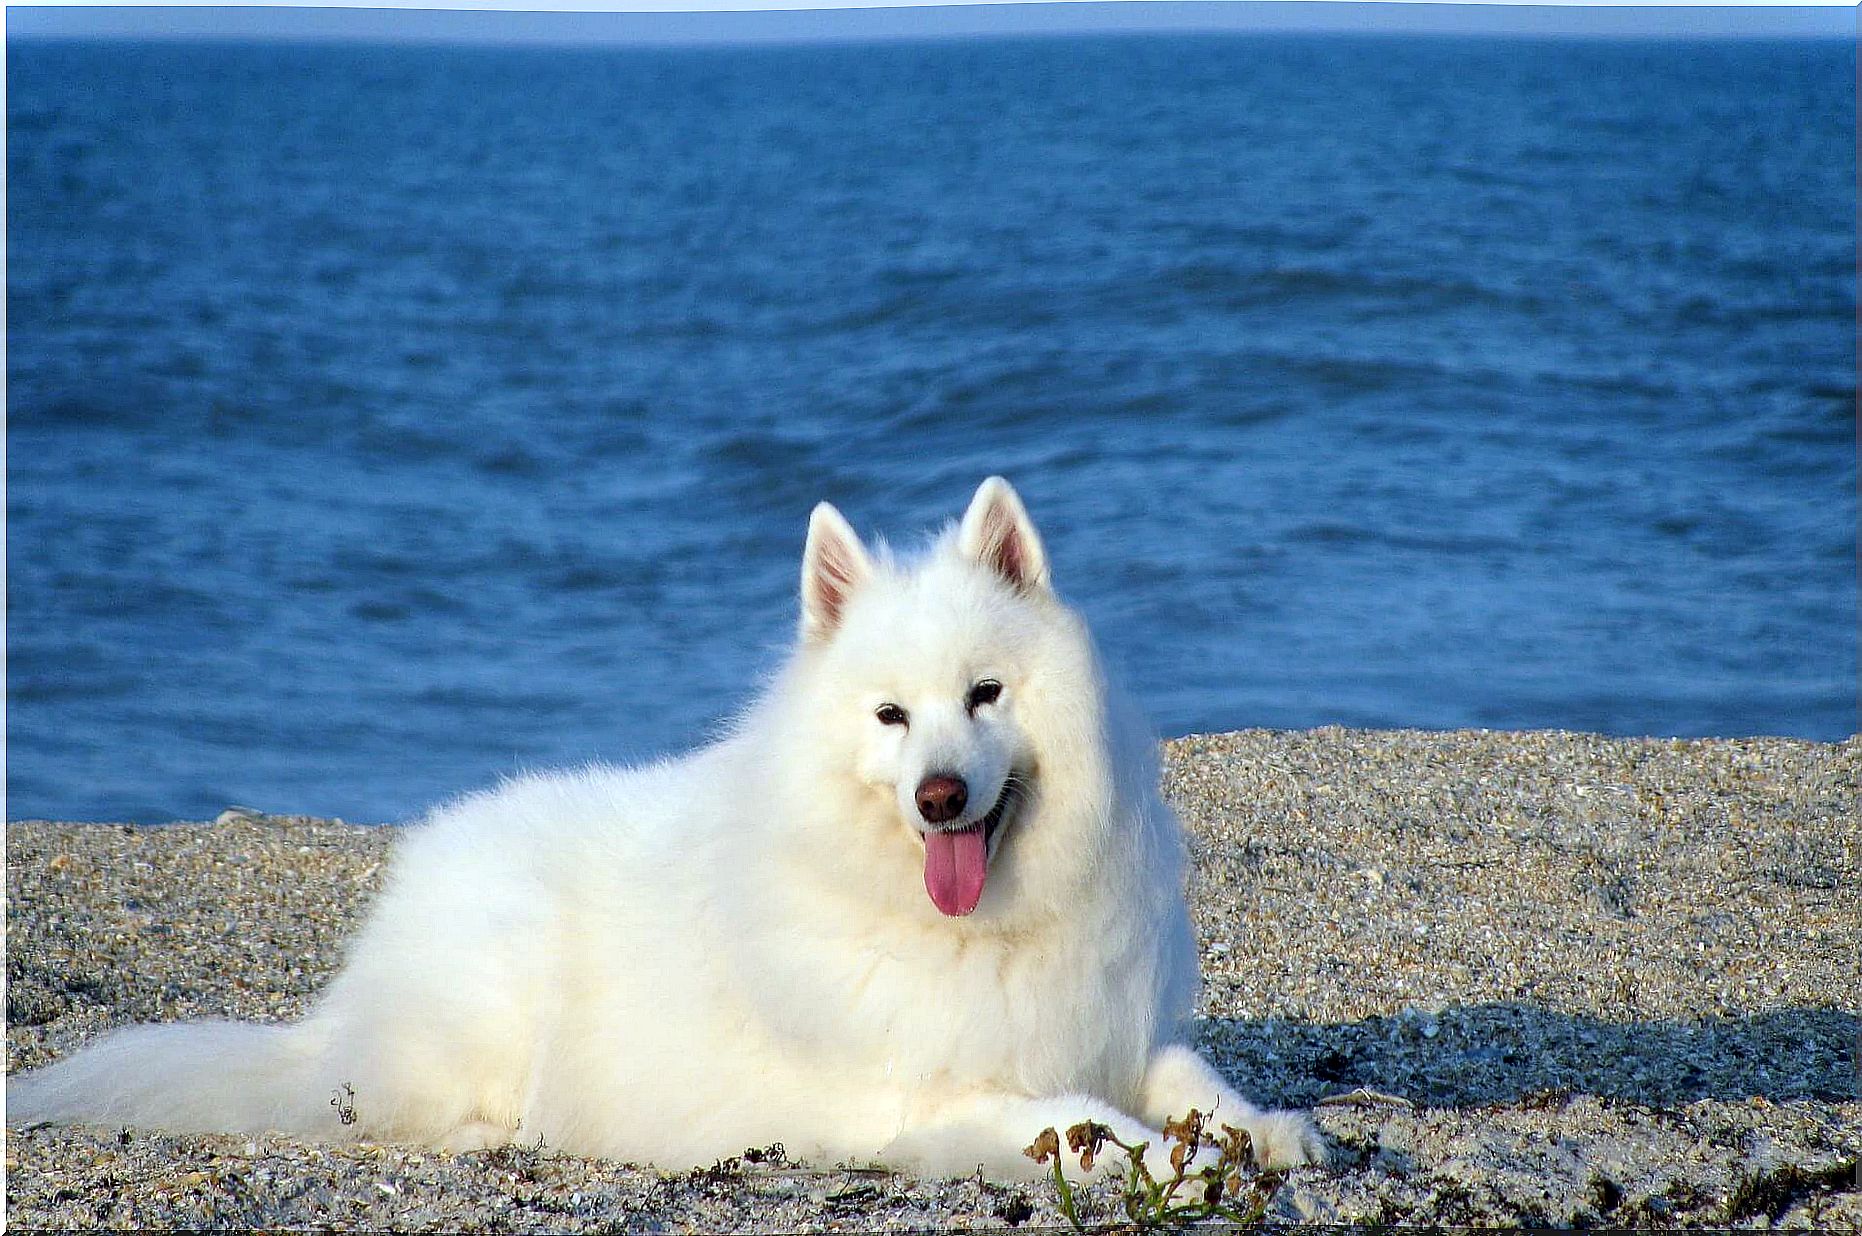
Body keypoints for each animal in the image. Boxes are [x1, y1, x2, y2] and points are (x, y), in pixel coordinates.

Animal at [10, 474, 1325, 1176]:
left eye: (985, 694)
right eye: (892, 716)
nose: (939, 796)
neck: (973, 929)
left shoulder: (1110, 1025)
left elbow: (1187, 1076)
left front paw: (1268, 1130)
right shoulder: (920, 1097)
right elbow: (1082, 1123)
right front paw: (1177, 1166)